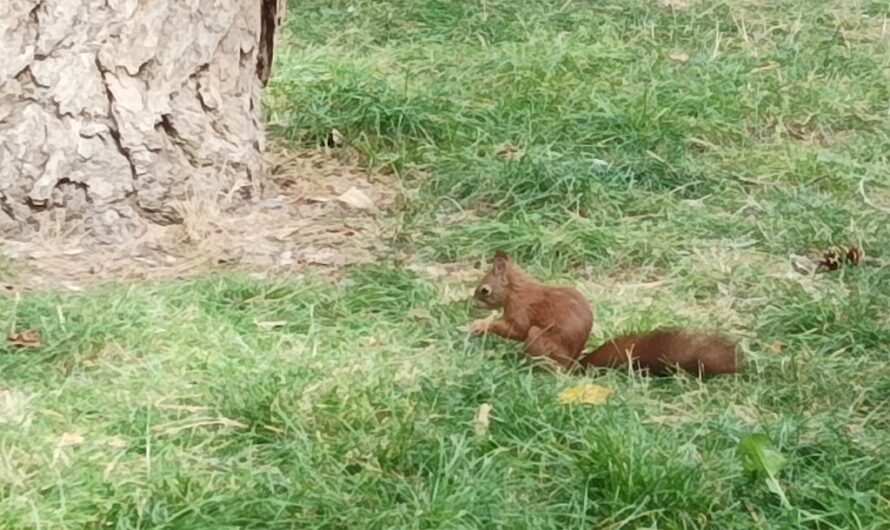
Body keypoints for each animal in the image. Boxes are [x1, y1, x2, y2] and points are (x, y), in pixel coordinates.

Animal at [468, 250, 740, 374]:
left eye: (484, 290)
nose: (473, 304)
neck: (516, 290)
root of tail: (574, 364)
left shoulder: (522, 309)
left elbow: (516, 329)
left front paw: (482, 325)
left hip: (540, 338)